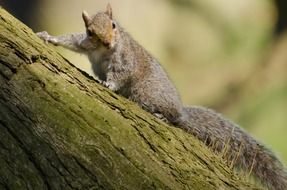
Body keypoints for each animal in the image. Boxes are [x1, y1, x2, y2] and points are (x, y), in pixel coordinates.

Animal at [37, 4, 287, 190]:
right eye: (91, 32)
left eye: (114, 25)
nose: (108, 42)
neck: (104, 50)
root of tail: (181, 110)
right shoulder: (85, 44)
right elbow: (72, 40)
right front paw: (50, 38)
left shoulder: (125, 60)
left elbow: (121, 74)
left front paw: (108, 83)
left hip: (147, 94)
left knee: (173, 118)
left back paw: (163, 116)